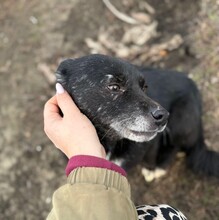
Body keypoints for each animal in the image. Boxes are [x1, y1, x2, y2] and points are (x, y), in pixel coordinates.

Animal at [55, 53, 219, 179]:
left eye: (144, 87)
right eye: (114, 87)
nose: (164, 116)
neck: (110, 143)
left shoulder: (153, 142)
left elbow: (150, 157)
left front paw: (151, 168)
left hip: (182, 119)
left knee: (175, 145)